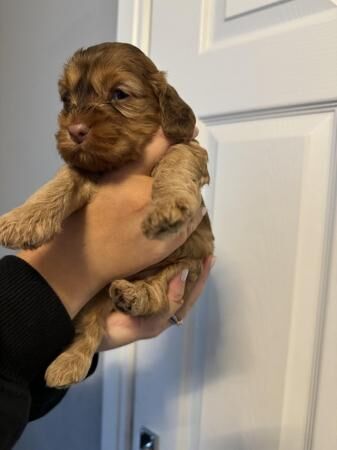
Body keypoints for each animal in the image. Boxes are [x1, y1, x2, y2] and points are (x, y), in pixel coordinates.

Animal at [0, 43, 213, 386]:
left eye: (119, 94)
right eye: (67, 99)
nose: (74, 130)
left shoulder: (189, 148)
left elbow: (175, 161)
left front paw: (167, 207)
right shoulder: (83, 169)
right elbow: (61, 180)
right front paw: (23, 220)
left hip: (186, 265)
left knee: (159, 291)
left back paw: (135, 295)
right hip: (98, 296)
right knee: (88, 330)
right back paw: (67, 364)